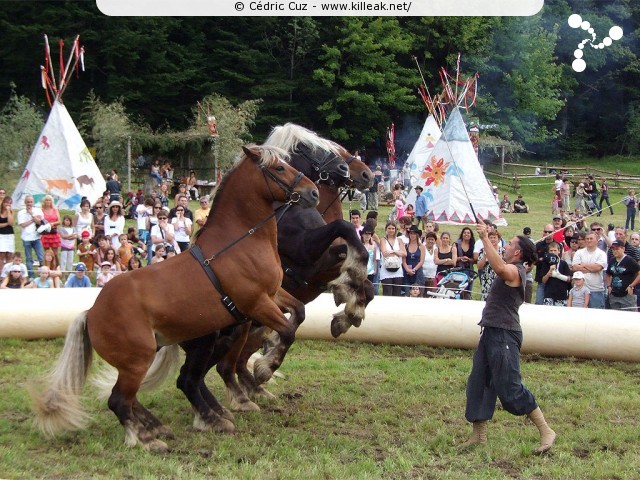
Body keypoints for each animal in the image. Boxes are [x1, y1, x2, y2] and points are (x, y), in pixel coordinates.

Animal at [31, 144, 318, 452]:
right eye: (279, 168)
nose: (313, 192)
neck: (239, 245)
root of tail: (91, 313)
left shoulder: (272, 294)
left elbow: (299, 312)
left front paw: (266, 356)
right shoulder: (256, 303)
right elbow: (288, 331)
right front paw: (267, 367)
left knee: (144, 394)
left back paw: (167, 424)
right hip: (137, 361)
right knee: (121, 400)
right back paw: (149, 438)